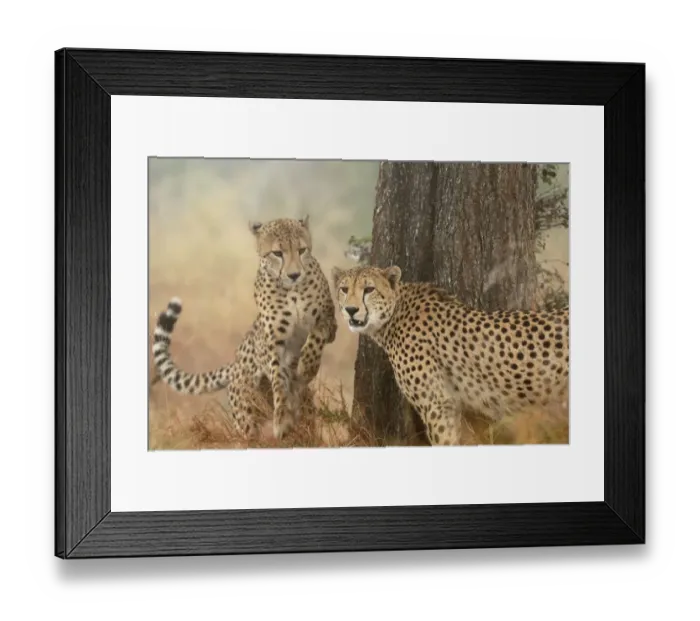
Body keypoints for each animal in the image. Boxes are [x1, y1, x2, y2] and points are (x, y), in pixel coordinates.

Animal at [151, 216, 337, 441]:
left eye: (302, 250)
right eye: (277, 253)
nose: (294, 274)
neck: (292, 290)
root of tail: (234, 364)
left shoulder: (330, 320)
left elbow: (315, 338)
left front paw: (307, 365)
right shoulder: (274, 343)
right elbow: (279, 380)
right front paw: (282, 419)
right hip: (246, 416)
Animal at [331, 264, 569, 446]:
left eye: (369, 289)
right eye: (344, 289)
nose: (351, 310)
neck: (394, 314)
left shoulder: (437, 403)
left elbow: (444, 441)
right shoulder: (453, 405)